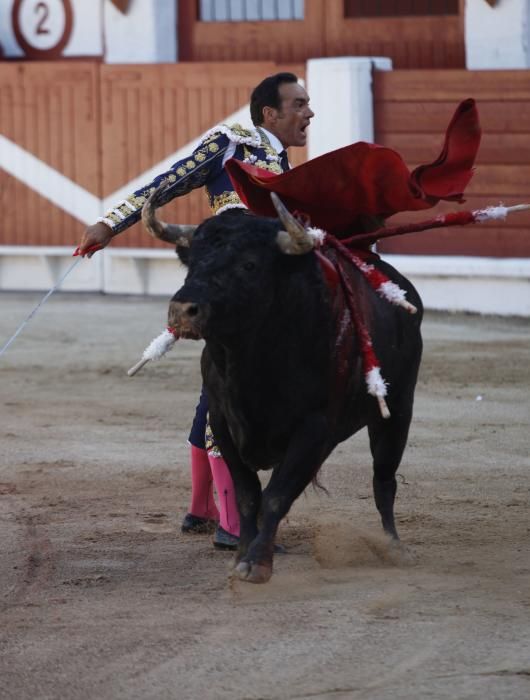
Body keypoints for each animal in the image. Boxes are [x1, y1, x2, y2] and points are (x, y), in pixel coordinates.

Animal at [142, 187, 422, 584]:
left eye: (249, 265)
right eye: (191, 262)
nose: (182, 311)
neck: (250, 362)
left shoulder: (314, 428)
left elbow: (276, 495)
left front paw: (257, 563)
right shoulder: (222, 420)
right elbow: (247, 493)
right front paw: (242, 554)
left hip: (397, 410)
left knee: (384, 480)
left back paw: (394, 547)